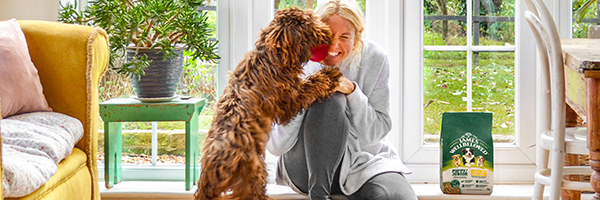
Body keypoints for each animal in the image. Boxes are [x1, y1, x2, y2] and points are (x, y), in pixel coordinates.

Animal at [195, 7, 340, 199]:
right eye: (310, 23)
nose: (328, 32)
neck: (270, 56)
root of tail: (214, 169)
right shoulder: (290, 100)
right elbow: (311, 83)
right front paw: (329, 75)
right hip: (254, 170)